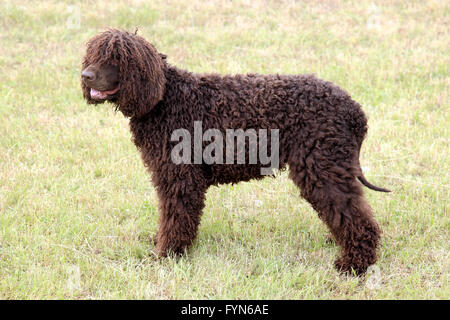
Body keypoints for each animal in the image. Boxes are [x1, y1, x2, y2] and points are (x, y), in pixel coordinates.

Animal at [81, 28, 390, 276]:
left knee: (354, 215)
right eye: (92, 54)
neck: (165, 98)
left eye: (116, 58)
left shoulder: (180, 178)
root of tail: (353, 109)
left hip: (322, 166)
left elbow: (176, 217)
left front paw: (167, 255)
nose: (85, 75)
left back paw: (355, 264)